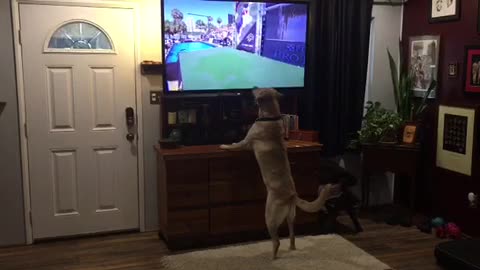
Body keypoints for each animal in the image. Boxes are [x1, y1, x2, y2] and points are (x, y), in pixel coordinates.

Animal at [219, 88, 332, 260]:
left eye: (258, 91)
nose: (253, 86)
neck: (270, 116)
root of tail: (292, 195)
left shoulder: (245, 142)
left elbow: (235, 145)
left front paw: (224, 145)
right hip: (291, 216)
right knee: (292, 235)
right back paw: (291, 248)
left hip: (270, 217)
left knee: (277, 241)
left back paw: (272, 258)